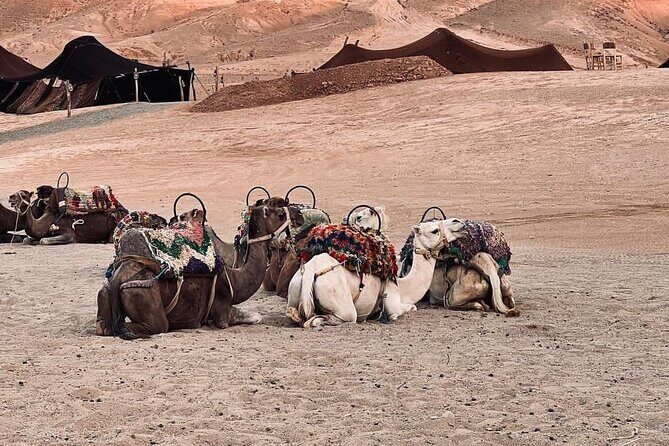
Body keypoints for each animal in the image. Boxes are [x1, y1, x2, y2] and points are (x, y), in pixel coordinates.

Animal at [96, 199, 292, 339]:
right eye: (280, 214)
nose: (294, 216)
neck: (235, 277)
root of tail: (117, 279)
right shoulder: (222, 311)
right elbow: (256, 316)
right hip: (142, 295)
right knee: (151, 326)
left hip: (105, 294)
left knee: (104, 327)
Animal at [286, 219, 463, 328]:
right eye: (434, 230)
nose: (457, 222)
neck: (403, 287)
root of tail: (310, 270)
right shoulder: (392, 303)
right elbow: (410, 308)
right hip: (342, 305)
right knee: (325, 320)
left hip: (294, 287)